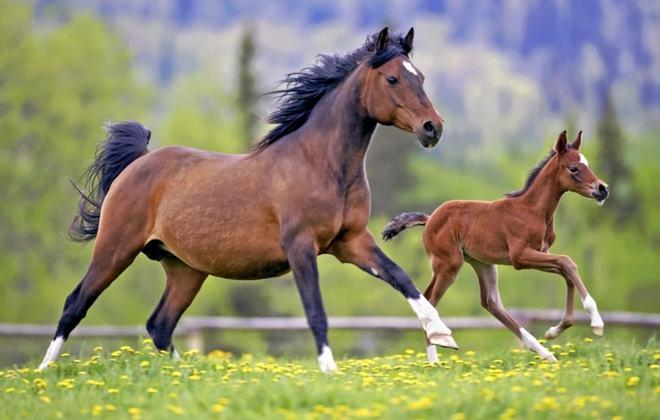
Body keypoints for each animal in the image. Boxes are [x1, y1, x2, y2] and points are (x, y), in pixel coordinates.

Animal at [38, 27, 456, 372]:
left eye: (420, 76)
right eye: (392, 78)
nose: (433, 128)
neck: (320, 163)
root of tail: (140, 161)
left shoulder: (350, 242)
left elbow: (402, 278)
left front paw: (442, 335)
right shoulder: (301, 246)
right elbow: (315, 310)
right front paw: (329, 370)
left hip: (185, 268)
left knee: (160, 324)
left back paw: (189, 373)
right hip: (116, 247)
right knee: (76, 303)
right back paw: (43, 372)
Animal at [384, 132, 612, 364]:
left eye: (587, 164)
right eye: (573, 168)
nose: (602, 189)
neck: (533, 210)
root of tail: (429, 219)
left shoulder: (542, 252)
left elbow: (566, 270)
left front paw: (554, 331)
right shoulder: (520, 257)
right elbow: (567, 262)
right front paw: (596, 322)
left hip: (483, 263)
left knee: (490, 302)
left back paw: (544, 353)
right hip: (449, 264)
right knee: (431, 300)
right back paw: (435, 359)